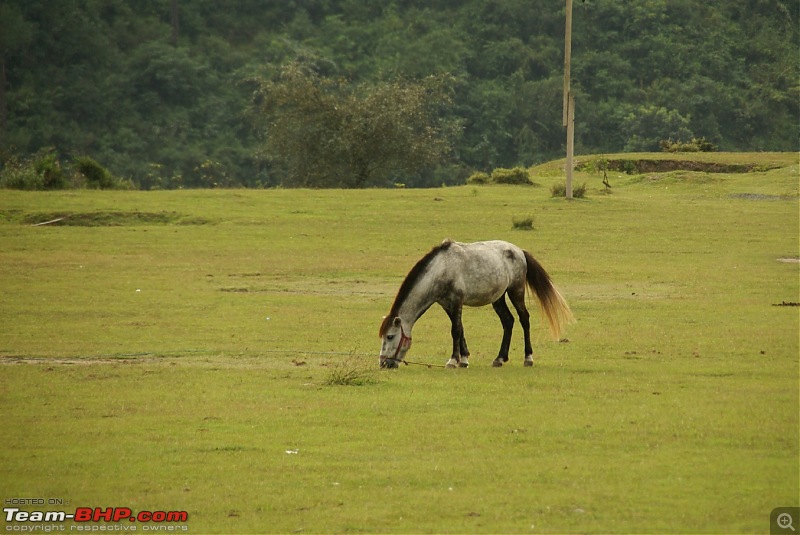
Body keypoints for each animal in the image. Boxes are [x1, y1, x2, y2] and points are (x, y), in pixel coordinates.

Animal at [378, 241, 572, 370]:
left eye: (390, 336)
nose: (383, 363)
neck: (441, 269)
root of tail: (519, 251)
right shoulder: (447, 304)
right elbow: (461, 329)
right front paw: (463, 360)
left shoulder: (456, 302)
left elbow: (455, 330)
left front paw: (453, 361)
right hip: (498, 298)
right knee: (508, 321)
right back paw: (500, 358)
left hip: (515, 291)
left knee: (524, 319)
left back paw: (528, 358)